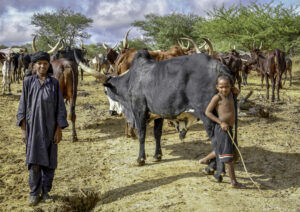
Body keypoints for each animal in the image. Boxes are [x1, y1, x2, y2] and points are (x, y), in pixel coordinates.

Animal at [74, 49, 236, 166]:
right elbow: (157, 134)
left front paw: (141, 159)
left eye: (106, 91)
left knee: (217, 138)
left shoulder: (139, 110)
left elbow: (142, 134)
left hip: (207, 115)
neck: (130, 80)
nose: (112, 112)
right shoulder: (159, 113)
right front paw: (157, 155)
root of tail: (219, 66)